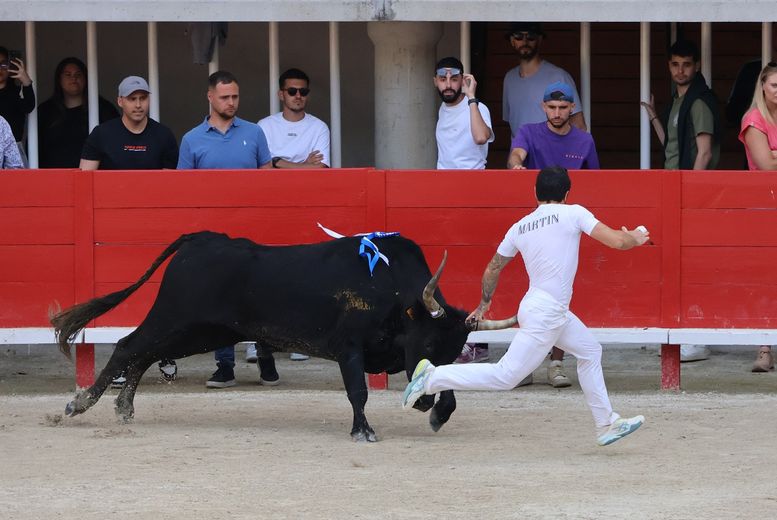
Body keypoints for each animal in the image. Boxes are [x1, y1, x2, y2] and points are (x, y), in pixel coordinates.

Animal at [53, 234, 516, 440]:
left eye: (453, 350)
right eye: (429, 344)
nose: (421, 404)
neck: (392, 290)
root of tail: (200, 239)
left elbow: (451, 388)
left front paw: (438, 414)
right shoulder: (349, 349)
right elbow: (358, 392)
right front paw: (363, 431)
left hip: (202, 331)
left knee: (145, 354)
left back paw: (123, 407)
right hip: (175, 317)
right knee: (129, 346)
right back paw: (79, 404)